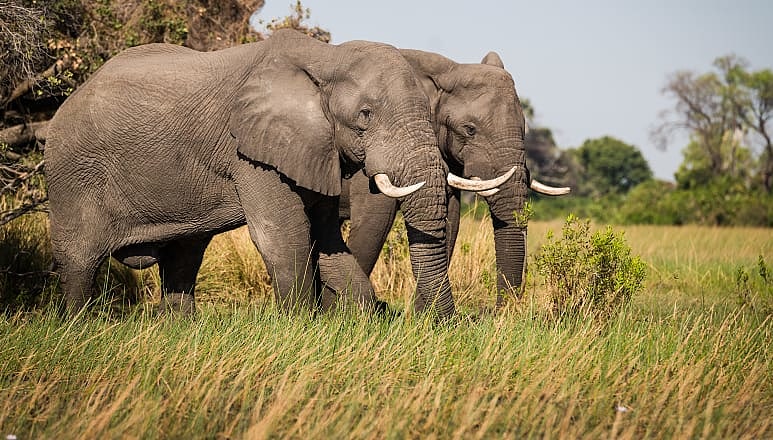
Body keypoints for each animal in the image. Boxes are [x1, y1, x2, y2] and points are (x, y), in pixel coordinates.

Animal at [45, 29, 503, 318]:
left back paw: (181, 329)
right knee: (79, 259)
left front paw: (362, 319)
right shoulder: (251, 151)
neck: (326, 57)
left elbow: (327, 240)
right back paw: (80, 328)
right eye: (365, 115)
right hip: (72, 174)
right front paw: (300, 326)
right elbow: (283, 234)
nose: (446, 325)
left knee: (185, 254)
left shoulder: (314, 149)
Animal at [339, 49, 569, 309]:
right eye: (470, 129)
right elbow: (374, 220)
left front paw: (423, 316)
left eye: (524, 130)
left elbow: (450, 219)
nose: (502, 313)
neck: (446, 70)